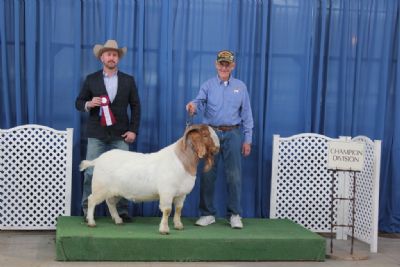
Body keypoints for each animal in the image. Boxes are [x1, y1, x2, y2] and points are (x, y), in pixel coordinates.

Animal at [79, 125, 220, 234]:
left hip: (115, 191)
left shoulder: (181, 194)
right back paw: (91, 222)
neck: (182, 161)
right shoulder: (167, 192)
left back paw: (118, 220)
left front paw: (178, 225)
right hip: (100, 187)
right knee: (91, 200)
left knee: (110, 203)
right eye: (205, 135)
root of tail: (98, 160)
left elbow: (179, 209)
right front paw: (164, 229)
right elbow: (167, 210)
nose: (218, 147)